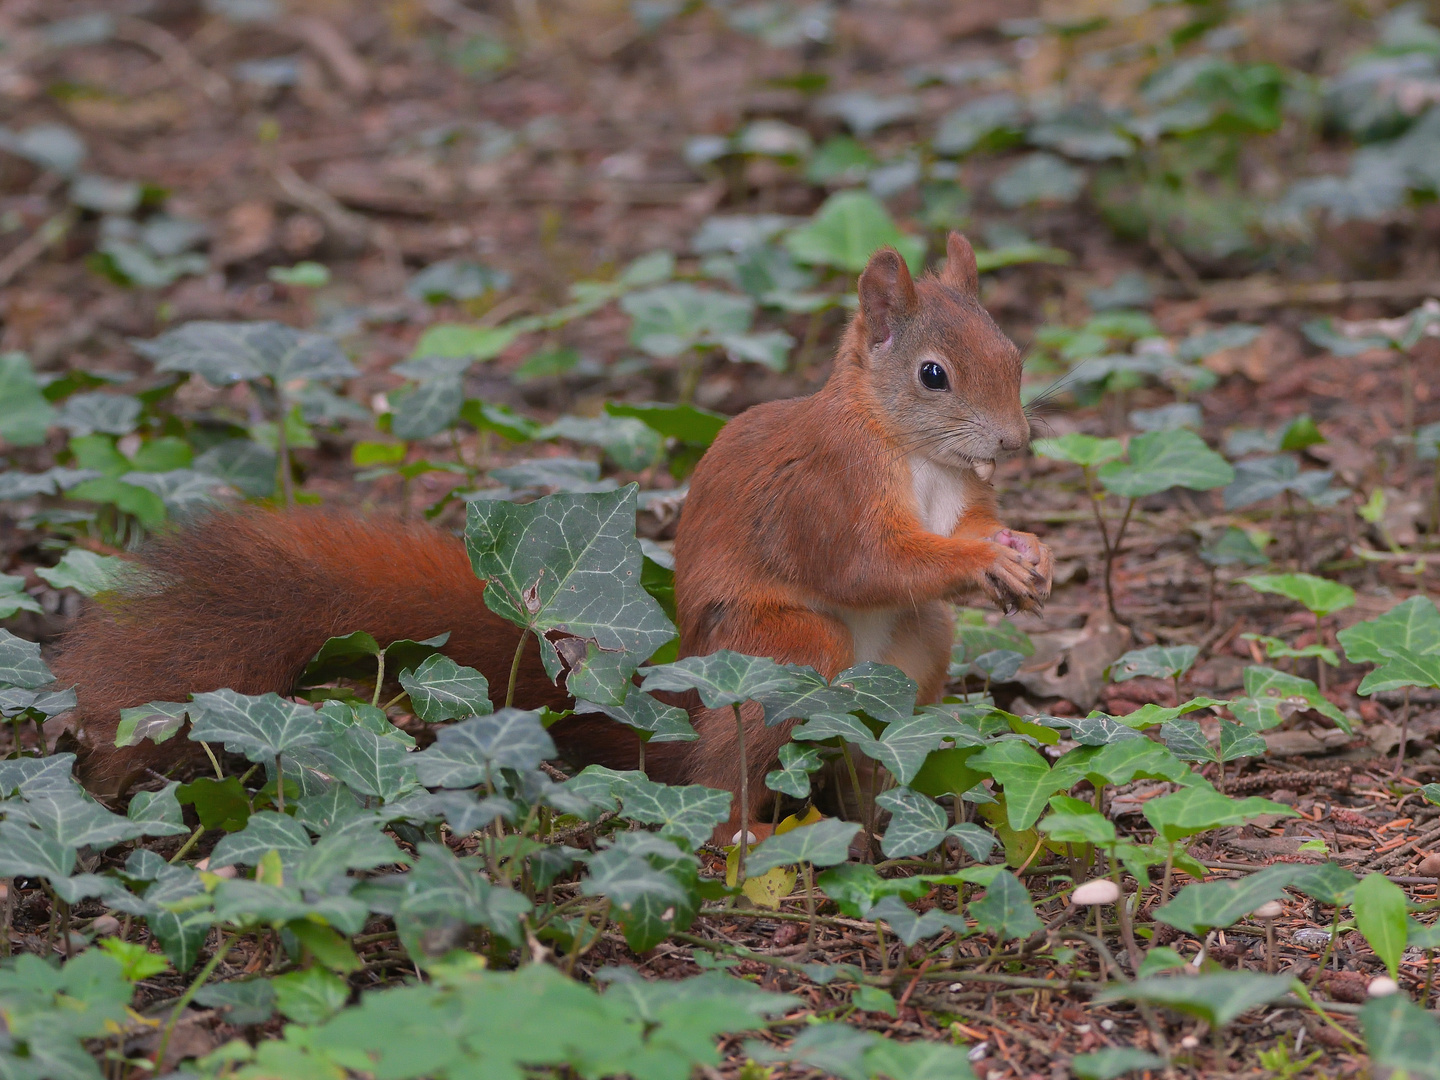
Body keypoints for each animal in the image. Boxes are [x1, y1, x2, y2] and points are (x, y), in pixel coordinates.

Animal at [59, 234, 1048, 829]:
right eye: (932, 375)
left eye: (1014, 356)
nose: (1014, 442)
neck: (914, 455)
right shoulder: (826, 496)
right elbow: (866, 561)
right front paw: (982, 560)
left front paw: (1027, 553)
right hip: (787, 654)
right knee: (729, 777)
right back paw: (750, 841)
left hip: (914, 659)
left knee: (865, 754)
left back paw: (883, 825)